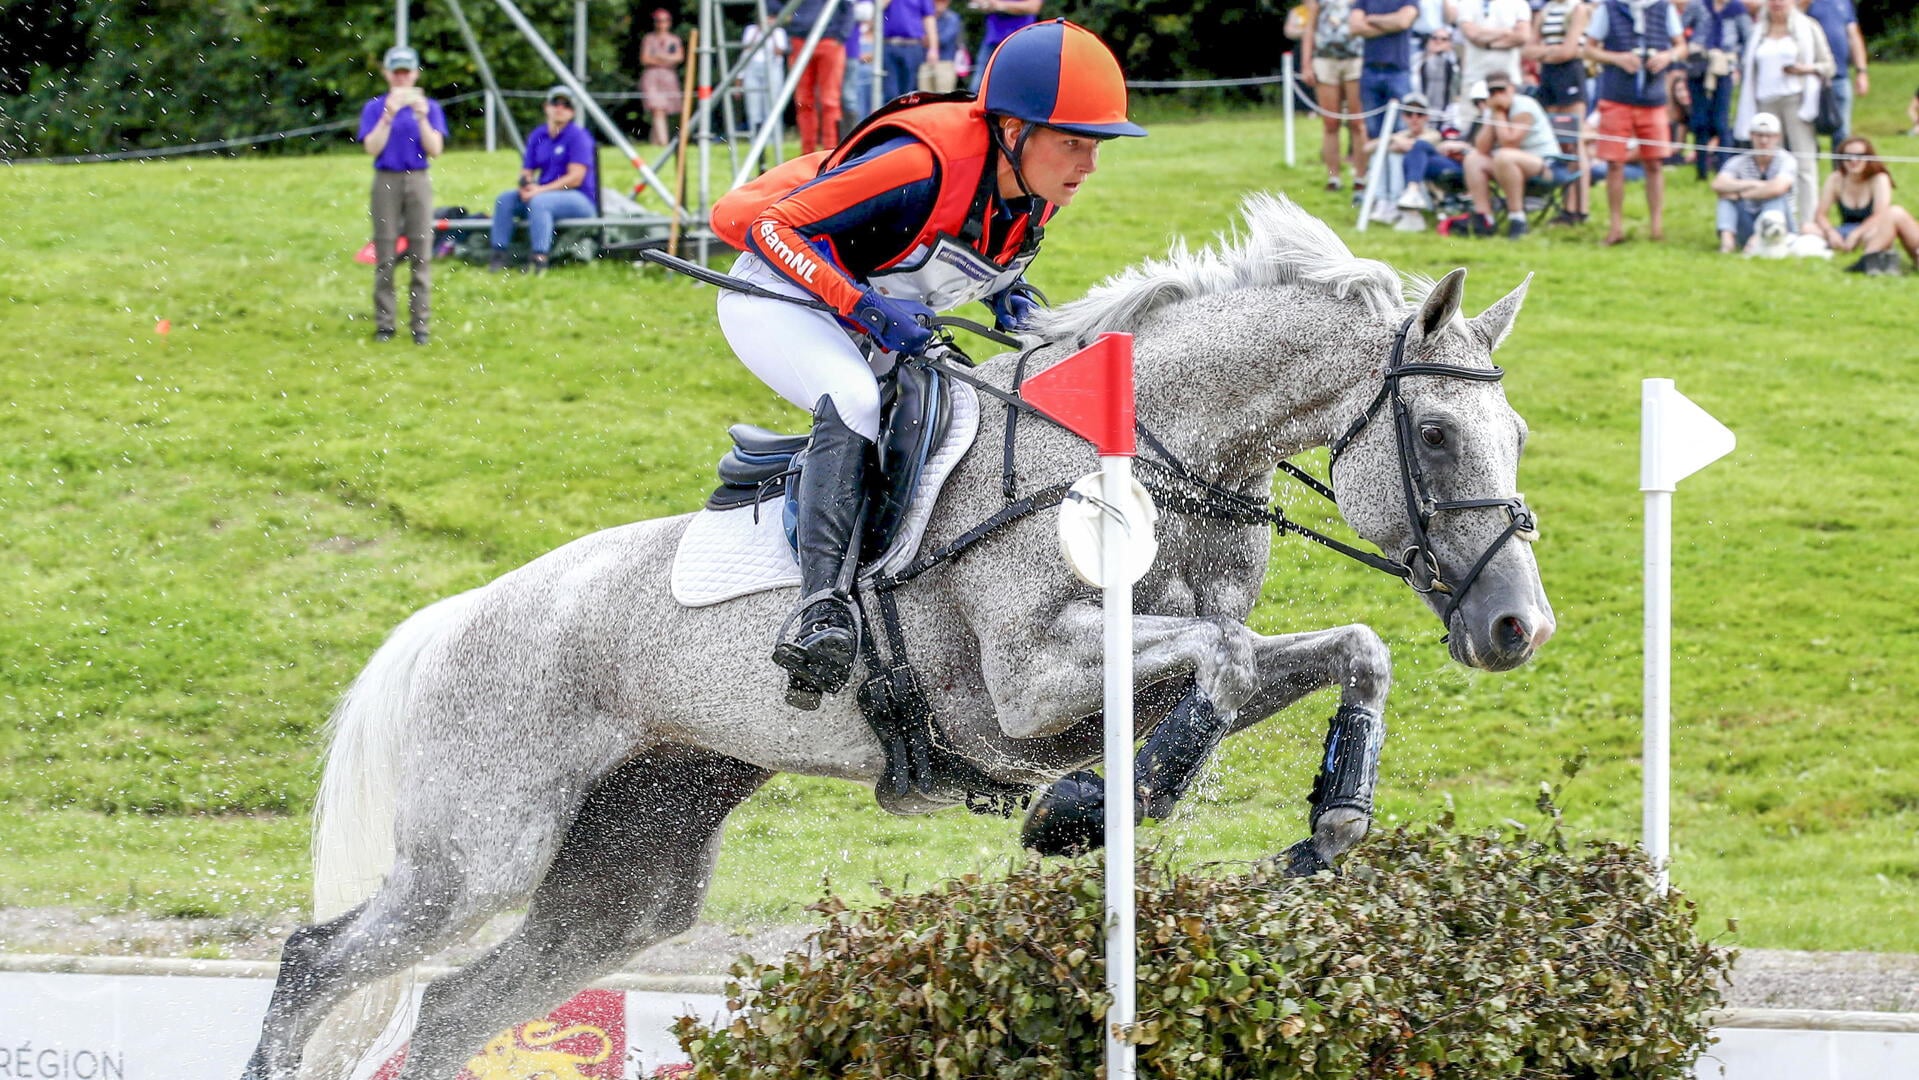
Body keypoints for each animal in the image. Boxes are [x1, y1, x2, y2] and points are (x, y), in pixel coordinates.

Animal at [239, 196, 1558, 1080]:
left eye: (1517, 437)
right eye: (1434, 435)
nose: (1516, 628)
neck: (1149, 462)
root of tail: (456, 616)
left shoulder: (1149, 661)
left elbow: (1337, 650)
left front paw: (1325, 824)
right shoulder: (1023, 695)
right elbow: (1219, 668)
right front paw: (1090, 808)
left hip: (628, 872)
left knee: (451, 1011)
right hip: (482, 849)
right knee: (318, 962)